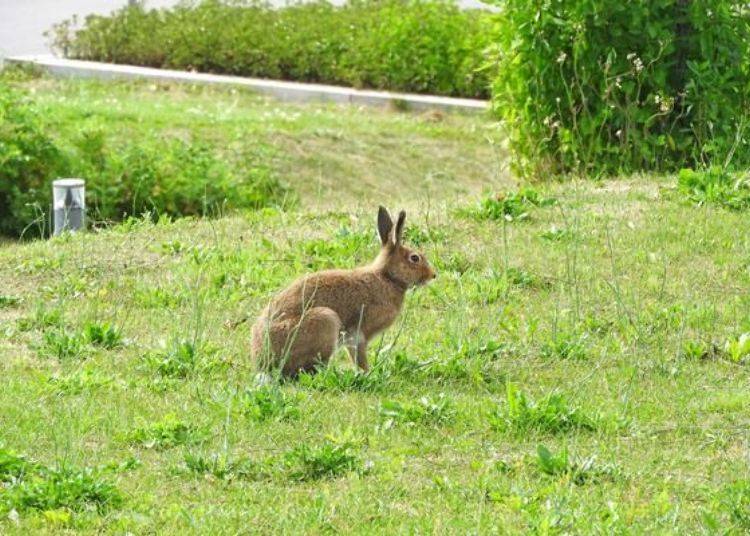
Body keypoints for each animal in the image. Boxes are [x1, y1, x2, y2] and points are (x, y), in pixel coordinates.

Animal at [253, 206, 438, 376]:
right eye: (414, 258)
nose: (433, 275)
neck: (387, 277)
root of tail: (263, 362)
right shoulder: (359, 334)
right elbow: (360, 357)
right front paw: (367, 373)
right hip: (325, 320)